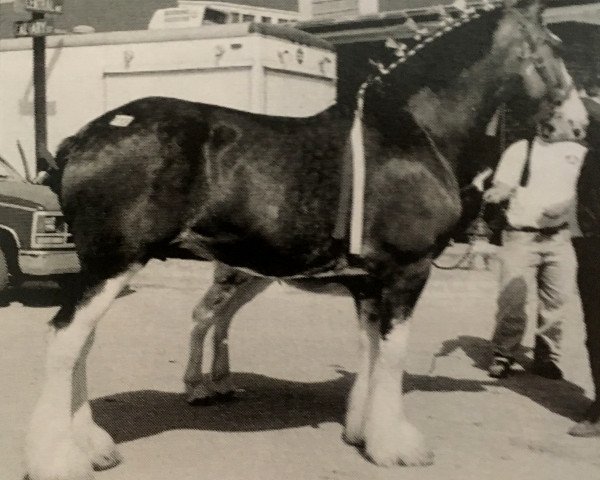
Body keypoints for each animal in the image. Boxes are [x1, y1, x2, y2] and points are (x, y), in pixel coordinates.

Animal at [25, 1, 588, 478]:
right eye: (557, 45)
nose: (581, 123)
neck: (413, 134)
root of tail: (84, 137)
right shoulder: (406, 272)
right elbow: (394, 354)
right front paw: (397, 446)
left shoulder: (367, 282)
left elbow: (370, 350)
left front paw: (362, 431)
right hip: (114, 265)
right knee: (64, 340)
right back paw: (58, 459)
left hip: (108, 269)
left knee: (84, 342)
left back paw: (94, 444)